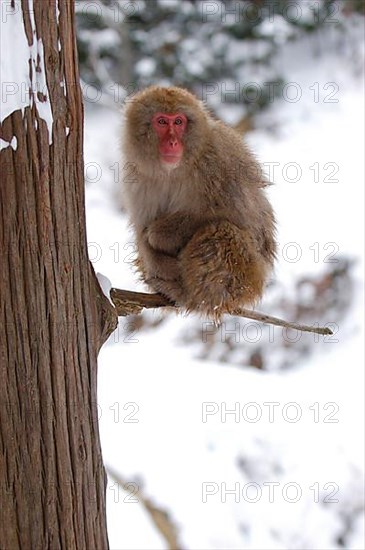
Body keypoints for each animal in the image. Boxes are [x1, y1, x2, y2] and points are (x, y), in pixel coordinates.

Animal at [121, 85, 274, 320]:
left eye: (178, 122)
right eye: (162, 121)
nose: (173, 142)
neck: (173, 171)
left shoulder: (218, 161)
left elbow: (243, 217)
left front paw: (161, 235)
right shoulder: (136, 178)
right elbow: (141, 231)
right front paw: (158, 260)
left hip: (248, 277)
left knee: (222, 231)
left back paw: (189, 295)